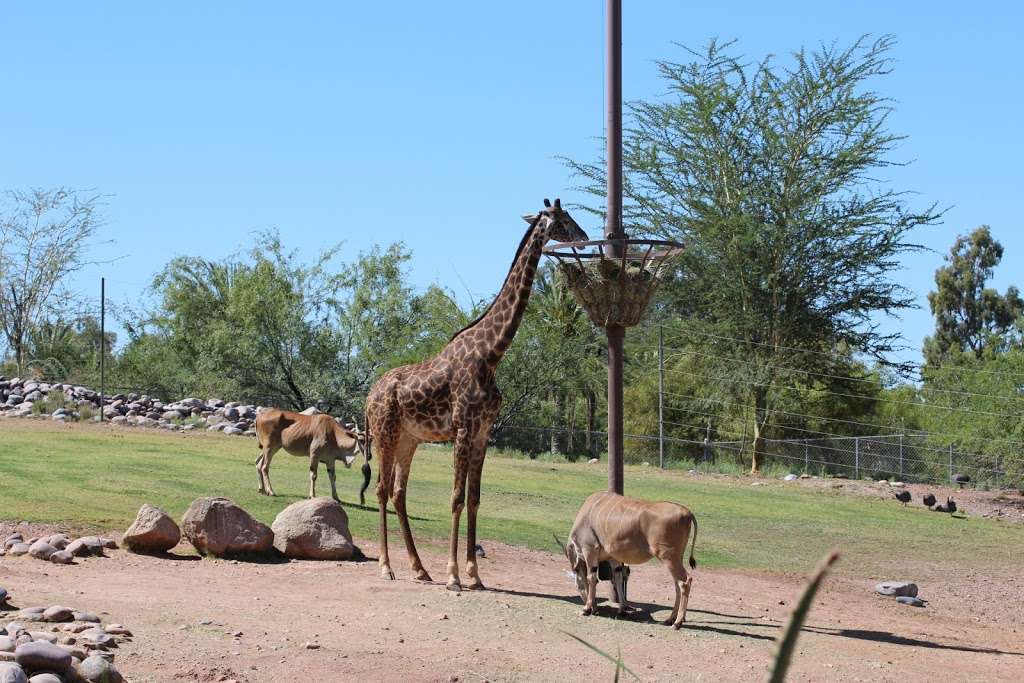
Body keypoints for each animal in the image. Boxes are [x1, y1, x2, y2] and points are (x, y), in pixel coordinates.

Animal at [366, 198, 589, 593]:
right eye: (563, 219)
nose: (584, 236)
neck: (491, 355)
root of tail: (368, 396)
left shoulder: (484, 432)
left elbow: (474, 499)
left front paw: (474, 575)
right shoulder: (464, 428)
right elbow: (455, 498)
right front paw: (455, 575)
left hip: (410, 439)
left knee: (398, 492)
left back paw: (420, 570)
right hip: (385, 434)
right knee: (380, 488)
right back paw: (387, 567)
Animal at [557, 491, 700, 630]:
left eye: (577, 582)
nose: (593, 606)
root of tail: (687, 513)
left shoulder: (590, 550)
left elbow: (591, 578)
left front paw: (586, 609)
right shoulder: (613, 559)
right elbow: (618, 580)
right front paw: (621, 610)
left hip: (668, 557)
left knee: (685, 582)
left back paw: (677, 622)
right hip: (675, 559)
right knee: (677, 584)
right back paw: (670, 619)